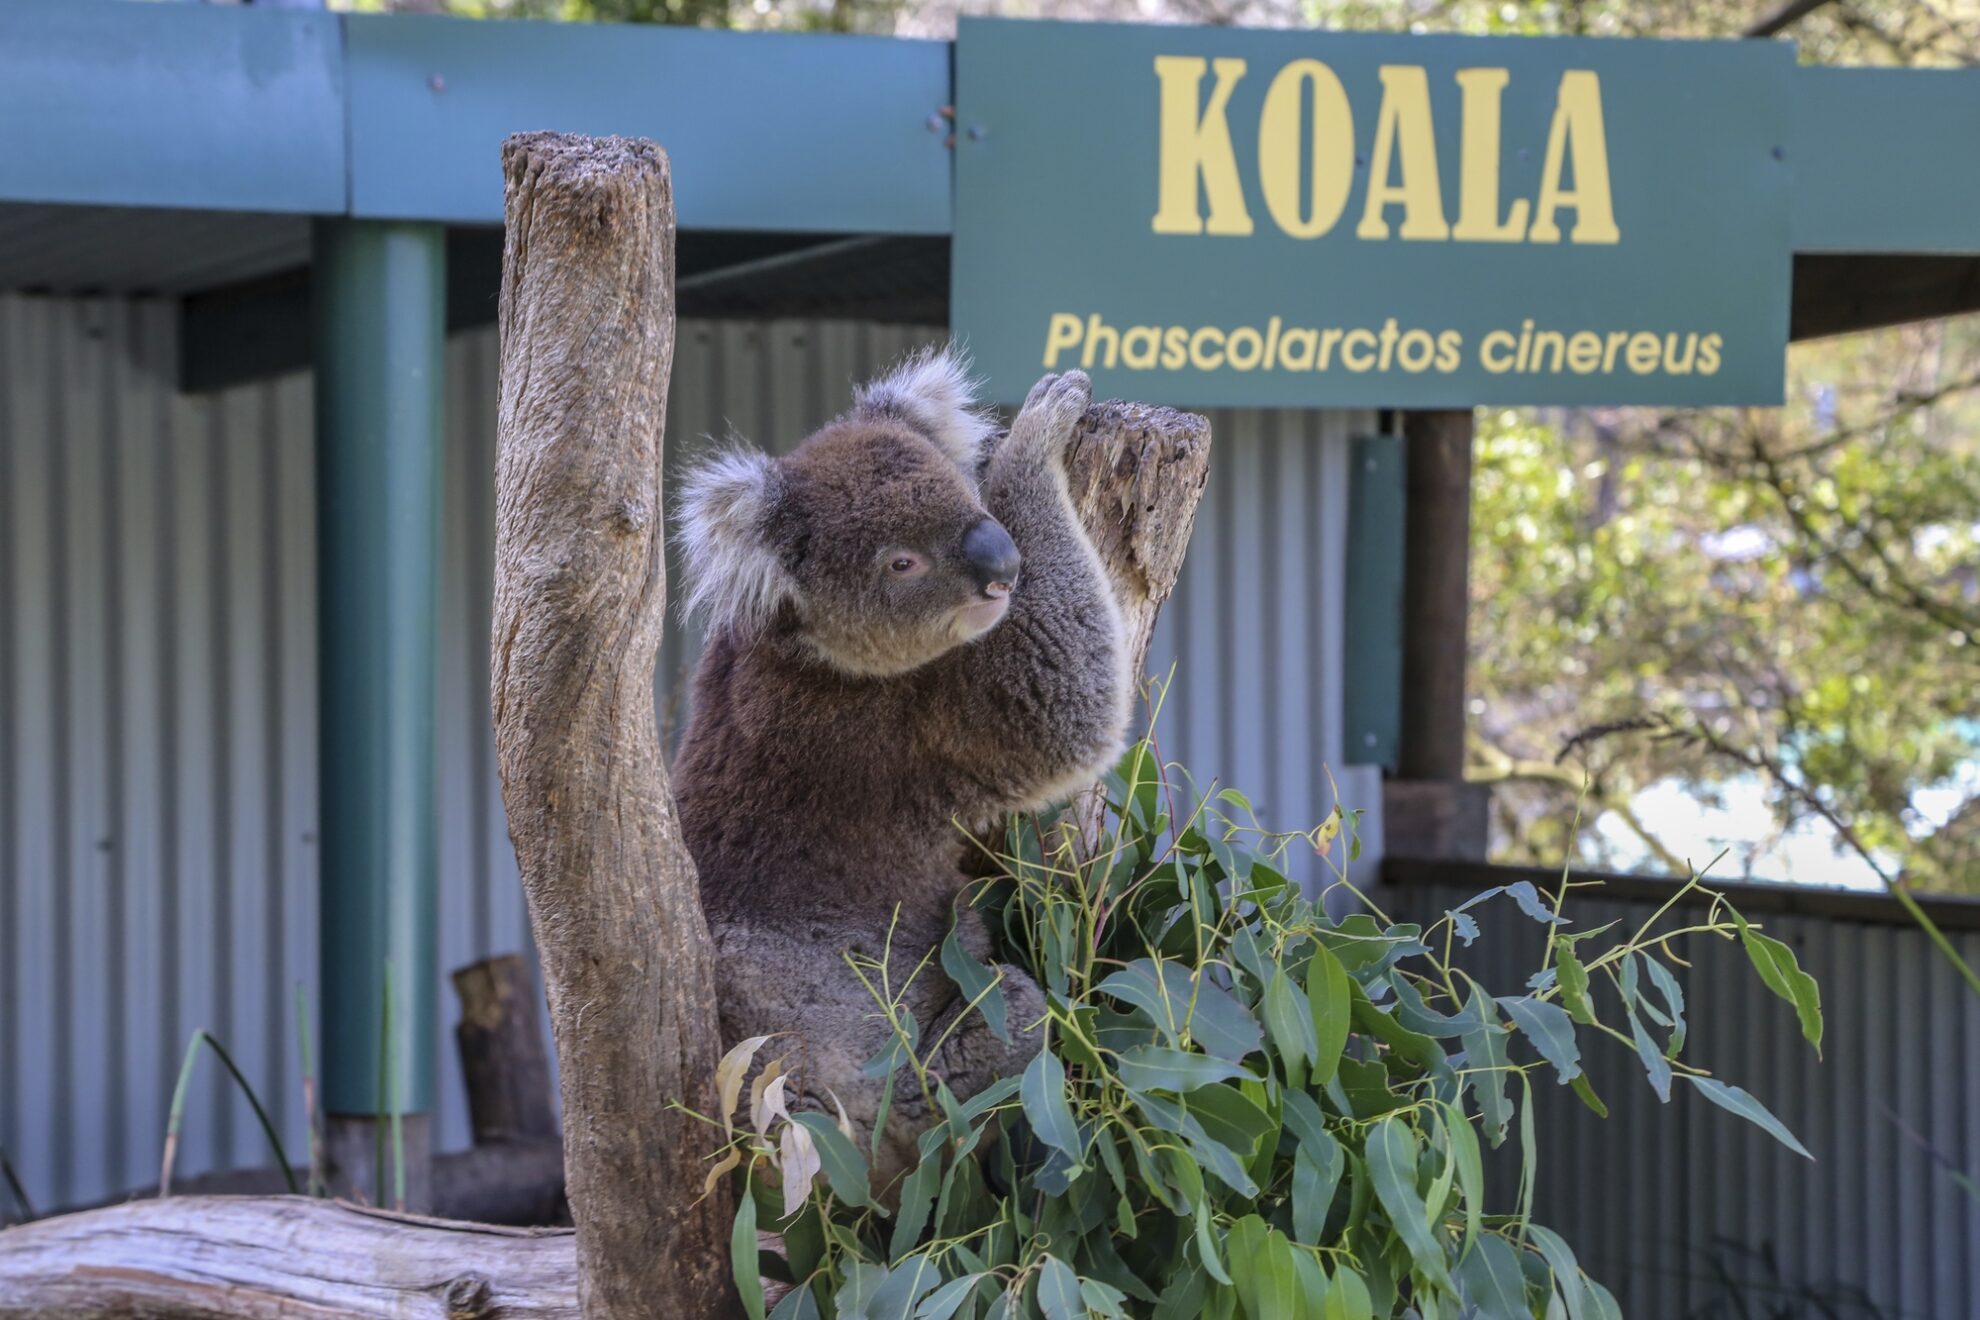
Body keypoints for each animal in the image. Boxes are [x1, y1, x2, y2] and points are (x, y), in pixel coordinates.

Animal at [670, 353, 1130, 1188]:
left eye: (962, 499)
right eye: (902, 563)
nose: (1004, 566)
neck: (807, 646)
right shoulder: (906, 726)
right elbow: (1065, 707)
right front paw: (1043, 422)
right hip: (913, 1092)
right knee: (1012, 1010)